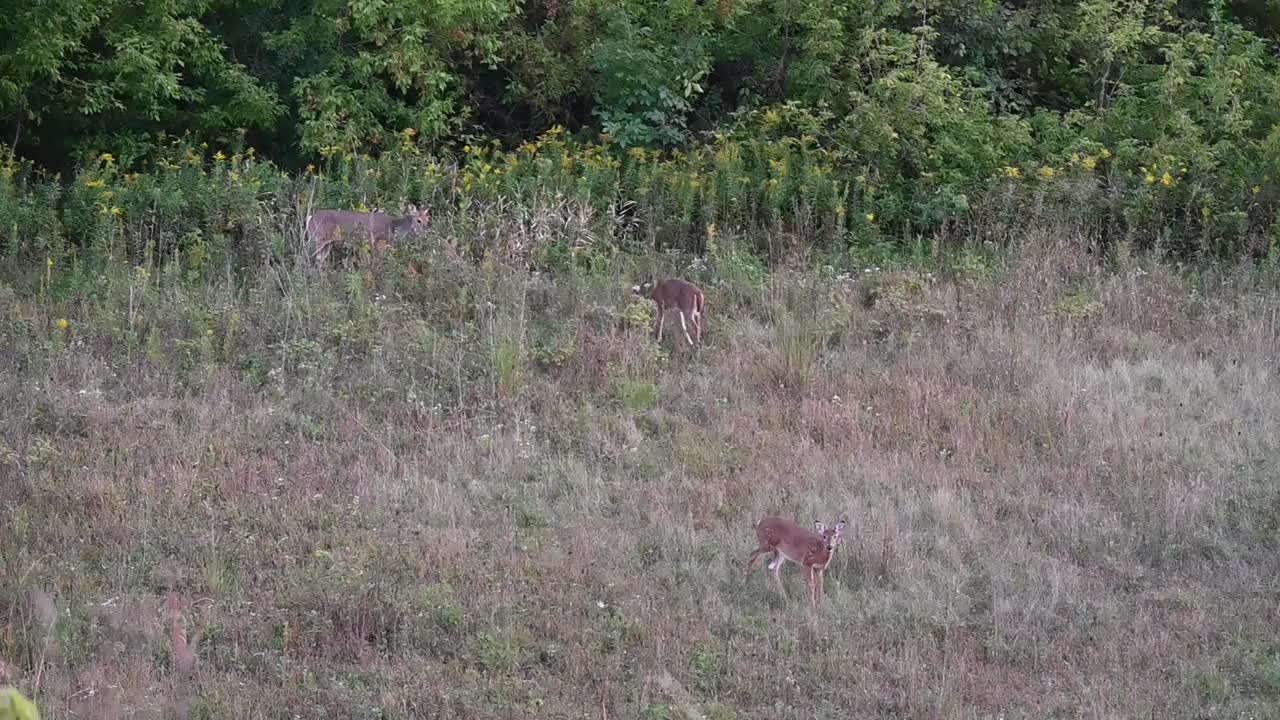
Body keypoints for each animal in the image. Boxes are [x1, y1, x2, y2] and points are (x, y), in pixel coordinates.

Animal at [305, 202, 435, 263]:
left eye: (428, 219)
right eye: (418, 220)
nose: (427, 231)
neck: (394, 227)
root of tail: (310, 218)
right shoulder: (378, 242)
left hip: (327, 243)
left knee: (320, 259)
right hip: (318, 237)